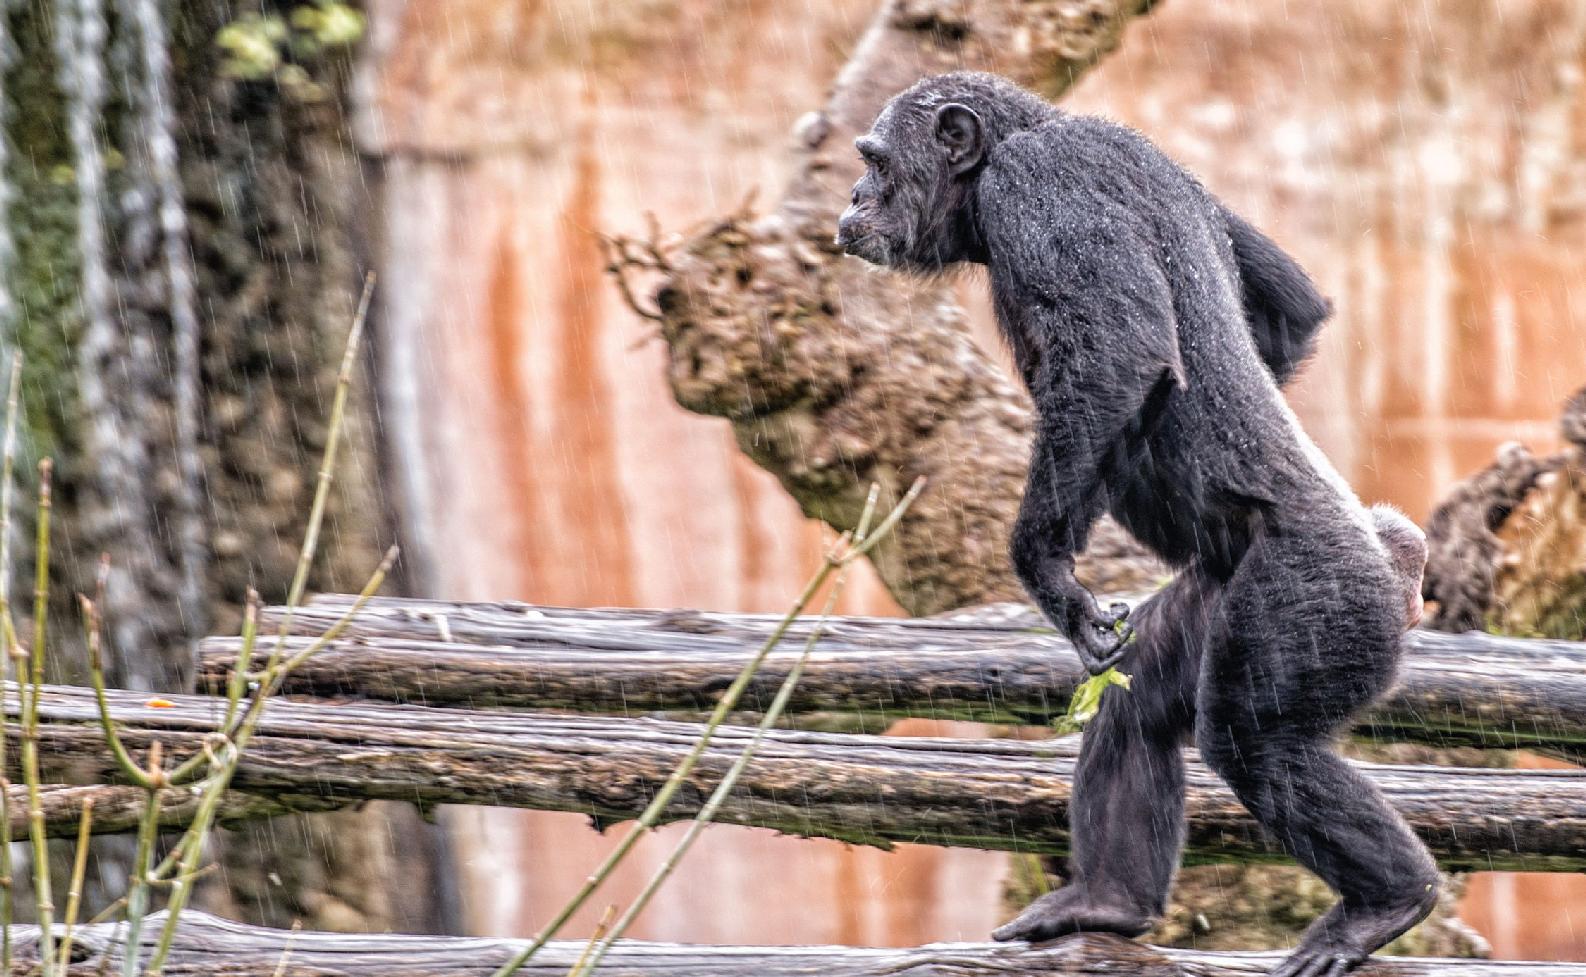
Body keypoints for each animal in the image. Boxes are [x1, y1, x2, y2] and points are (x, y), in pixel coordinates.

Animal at [837, 72, 1446, 977]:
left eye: (876, 161)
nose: (853, 195)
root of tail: (1396, 575)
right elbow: (1290, 313)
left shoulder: (1041, 183)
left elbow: (1117, 355)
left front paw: (1047, 569)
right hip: (1221, 596)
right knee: (1142, 699)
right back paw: (1107, 899)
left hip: (1313, 598)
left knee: (1256, 740)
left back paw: (1386, 901)